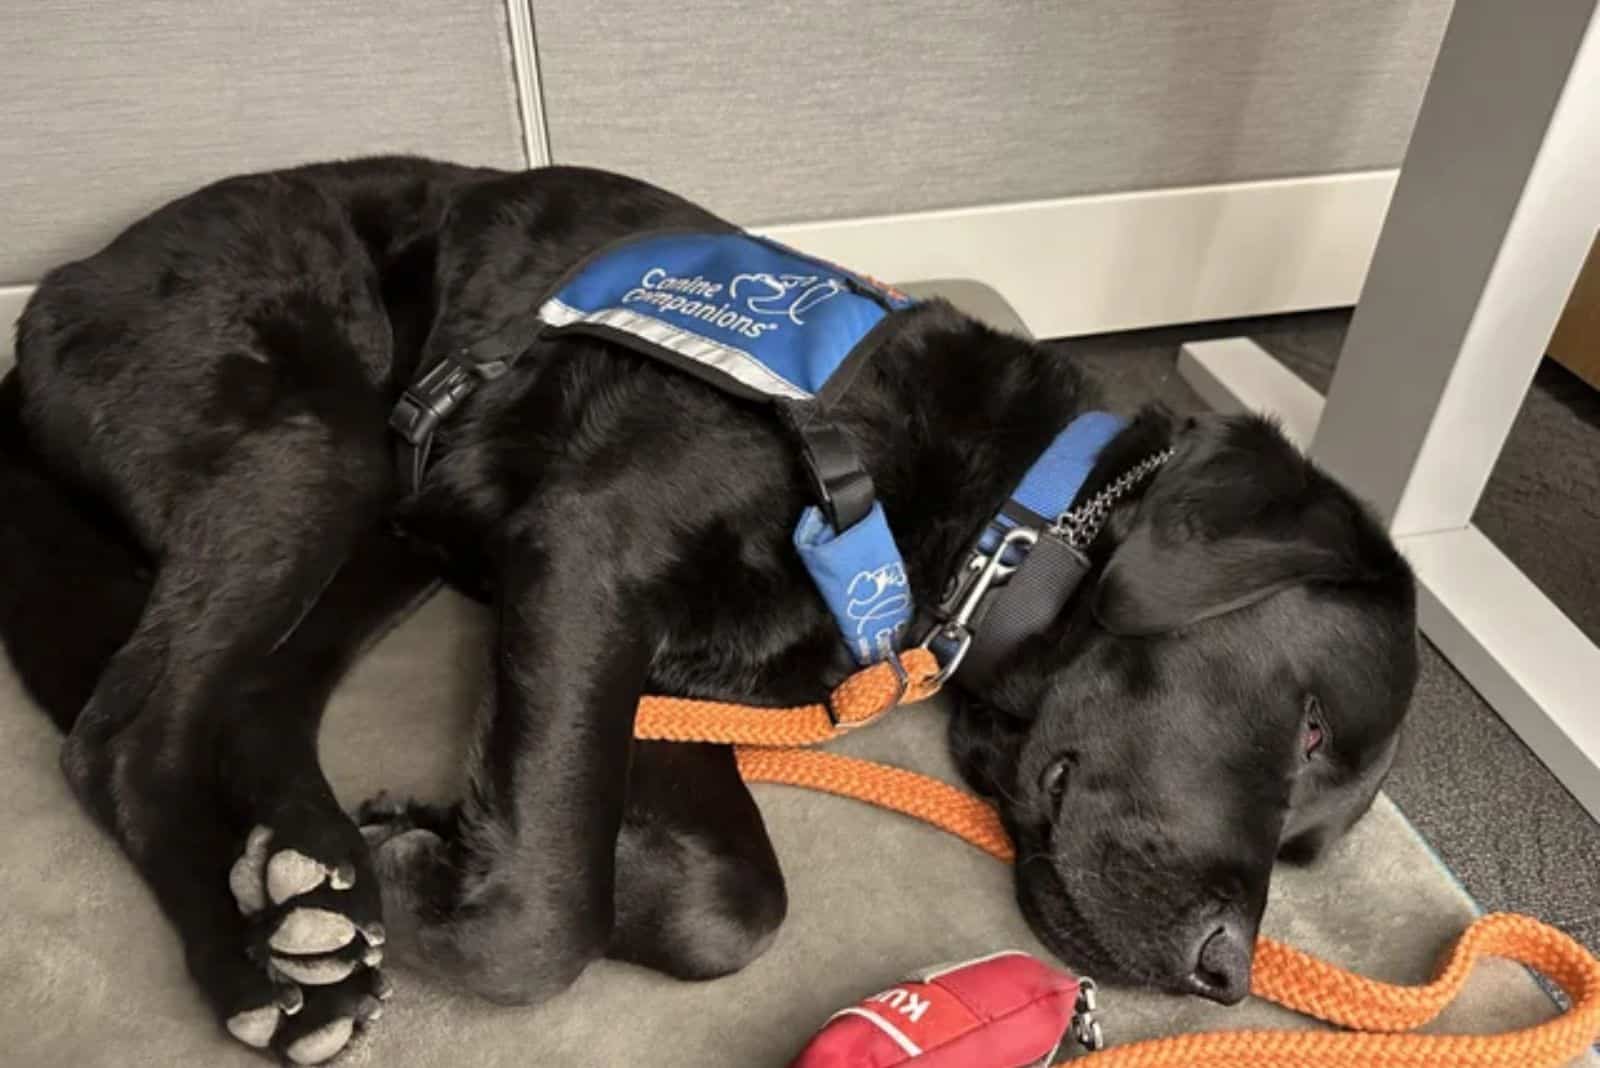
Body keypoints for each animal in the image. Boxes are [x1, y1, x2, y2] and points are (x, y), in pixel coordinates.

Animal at [0, 154, 1420, 1061]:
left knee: (250, 703)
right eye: (1302, 730)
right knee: (125, 736)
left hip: (383, 533)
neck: (1002, 510)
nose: (1226, 979)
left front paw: (434, 838)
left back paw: (313, 882)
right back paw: (265, 975)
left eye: (1310, 849)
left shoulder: (648, 671)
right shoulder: (590, 562)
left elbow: (730, 899)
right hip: (313, 445)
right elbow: (550, 913)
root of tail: (57, 293)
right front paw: (445, 881)